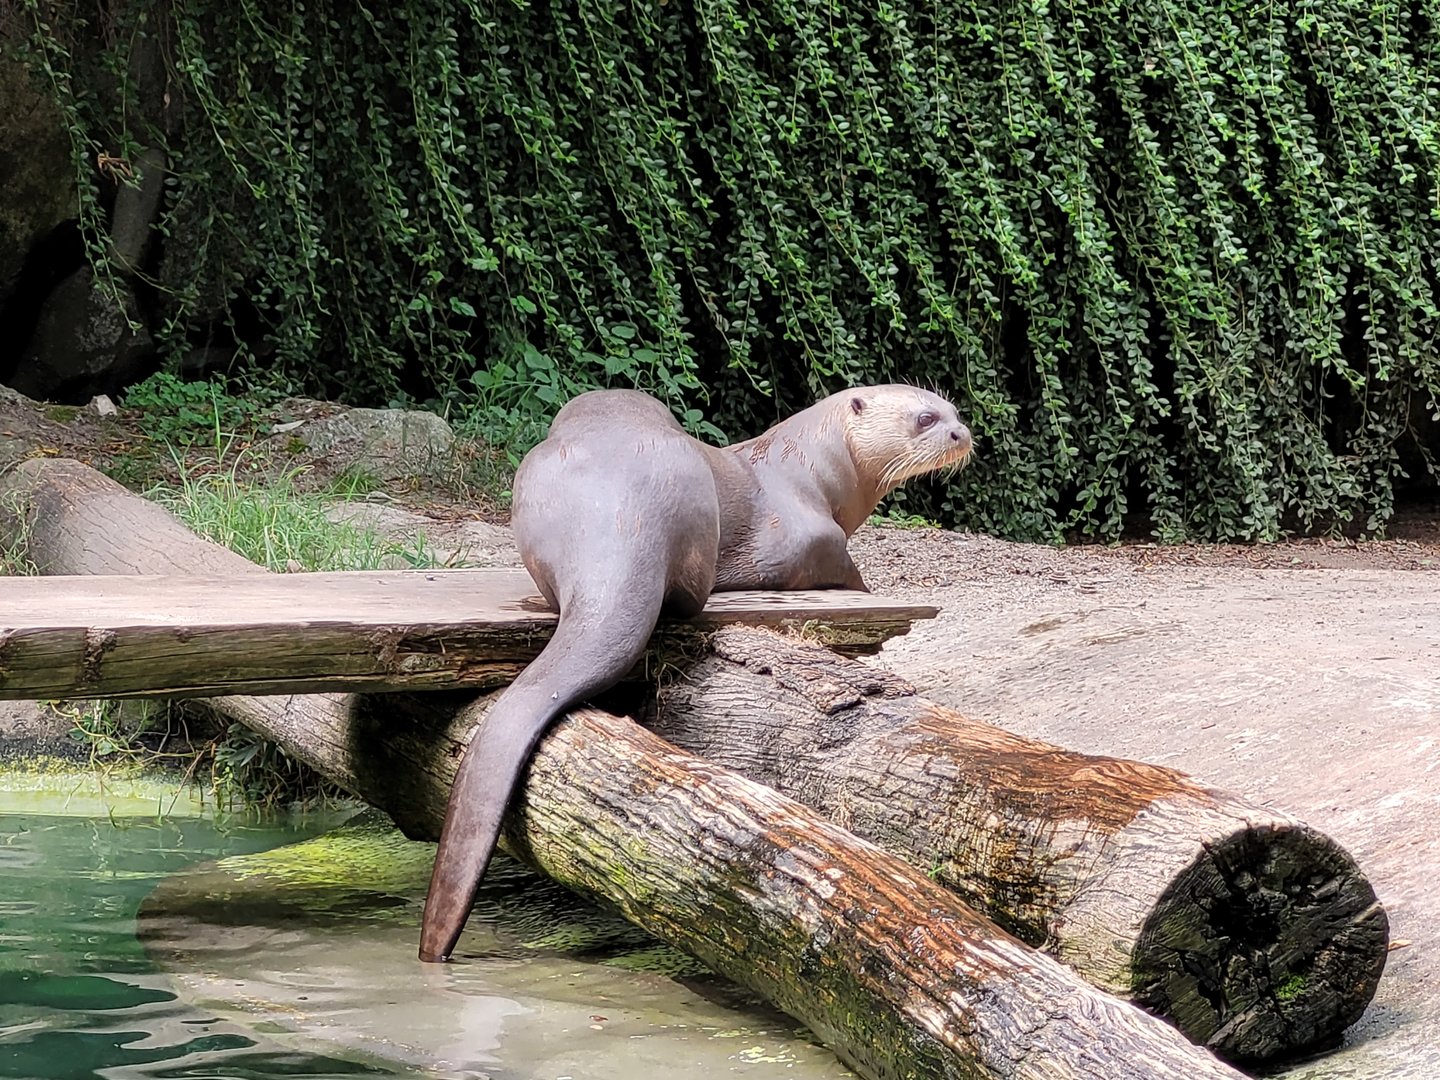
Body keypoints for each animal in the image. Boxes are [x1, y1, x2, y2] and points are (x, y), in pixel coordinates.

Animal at [418, 385, 972, 962]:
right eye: (925, 418)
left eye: (955, 412)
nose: (963, 434)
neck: (812, 467)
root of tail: (618, 513)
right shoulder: (809, 537)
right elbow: (842, 569)